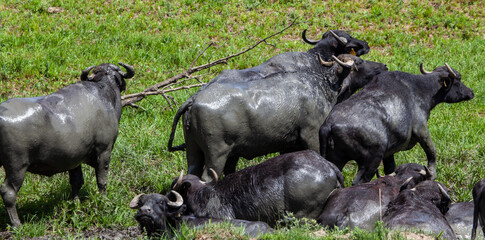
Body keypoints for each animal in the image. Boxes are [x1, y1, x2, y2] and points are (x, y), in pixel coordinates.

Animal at [0, 62, 134, 227]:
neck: (103, 93)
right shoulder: (104, 151)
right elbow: (102, 181)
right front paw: (104, 201)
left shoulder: (74, 158)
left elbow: (76, 181)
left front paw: (75, 203)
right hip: (17, 166)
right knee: (8, 192)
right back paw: (16, 224)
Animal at [166, 49, 386, 181]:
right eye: (359, 62)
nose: (383, 66)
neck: (319, 85)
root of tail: (194, 98)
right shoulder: (311, 135)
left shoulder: (287, 145)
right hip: (216, 154)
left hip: (195, 151)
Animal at [318, 62, 472, 185]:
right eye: (458, 80)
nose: (471, 92)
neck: (419, 89)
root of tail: (328, 125)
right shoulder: (421, 129)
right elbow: (432, 152)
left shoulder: (389, 153)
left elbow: (390, 169)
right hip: (371, 160)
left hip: (336, 160)